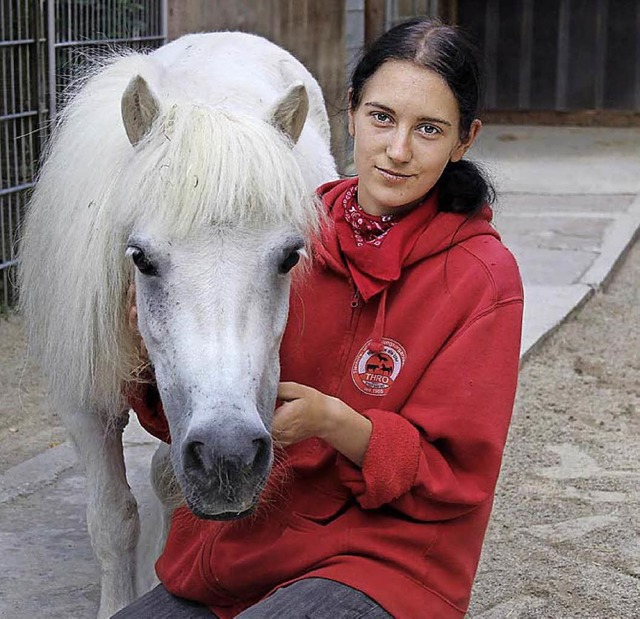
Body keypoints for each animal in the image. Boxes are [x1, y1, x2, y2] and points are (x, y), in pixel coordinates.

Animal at [18, 31, 338, 616]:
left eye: (290, 256)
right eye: (140, 258)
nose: (229, 456)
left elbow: (168, 484)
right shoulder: (84, 406)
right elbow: (112, 520)